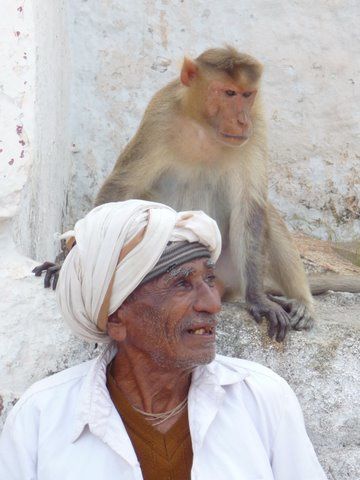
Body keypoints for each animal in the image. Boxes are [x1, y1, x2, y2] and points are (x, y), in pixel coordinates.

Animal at [35, 46, 360, 342]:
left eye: (247, 95)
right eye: (228, 93)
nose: (242, 120)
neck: (206, 127)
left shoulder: (257, 125)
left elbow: (250, 207)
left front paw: (259, 299)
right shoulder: (160, 114)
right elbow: (121, 188)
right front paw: (67, 260)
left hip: (228, 271)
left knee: (264, 213)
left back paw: (301, 302)